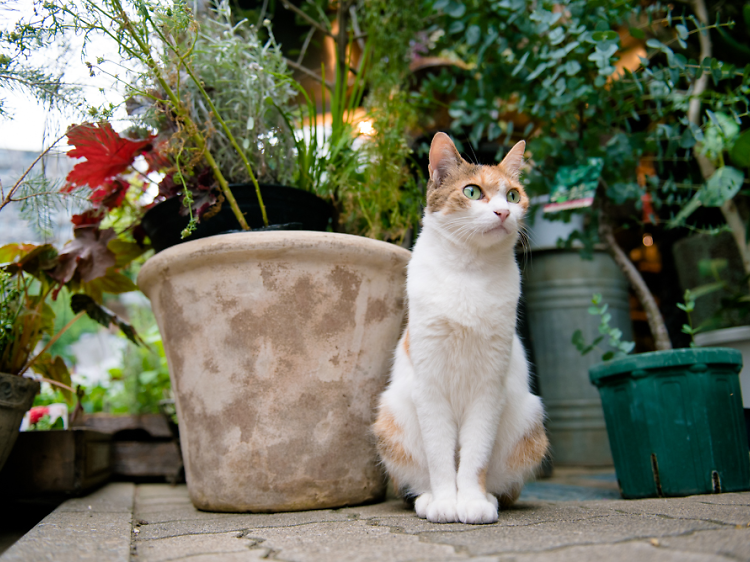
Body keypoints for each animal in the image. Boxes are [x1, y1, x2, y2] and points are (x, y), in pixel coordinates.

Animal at [374, 132, 548, 524]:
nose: (503, 212)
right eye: (472, 192)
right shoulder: (429, 384)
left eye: (513, 195)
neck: (468, 270)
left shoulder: (489, 387)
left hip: (529, 420)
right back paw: (425, 499)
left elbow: (475, 453)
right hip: (392, 417)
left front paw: (471, 500)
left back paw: (491, 497)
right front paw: (444, 501)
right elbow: (439, 453)